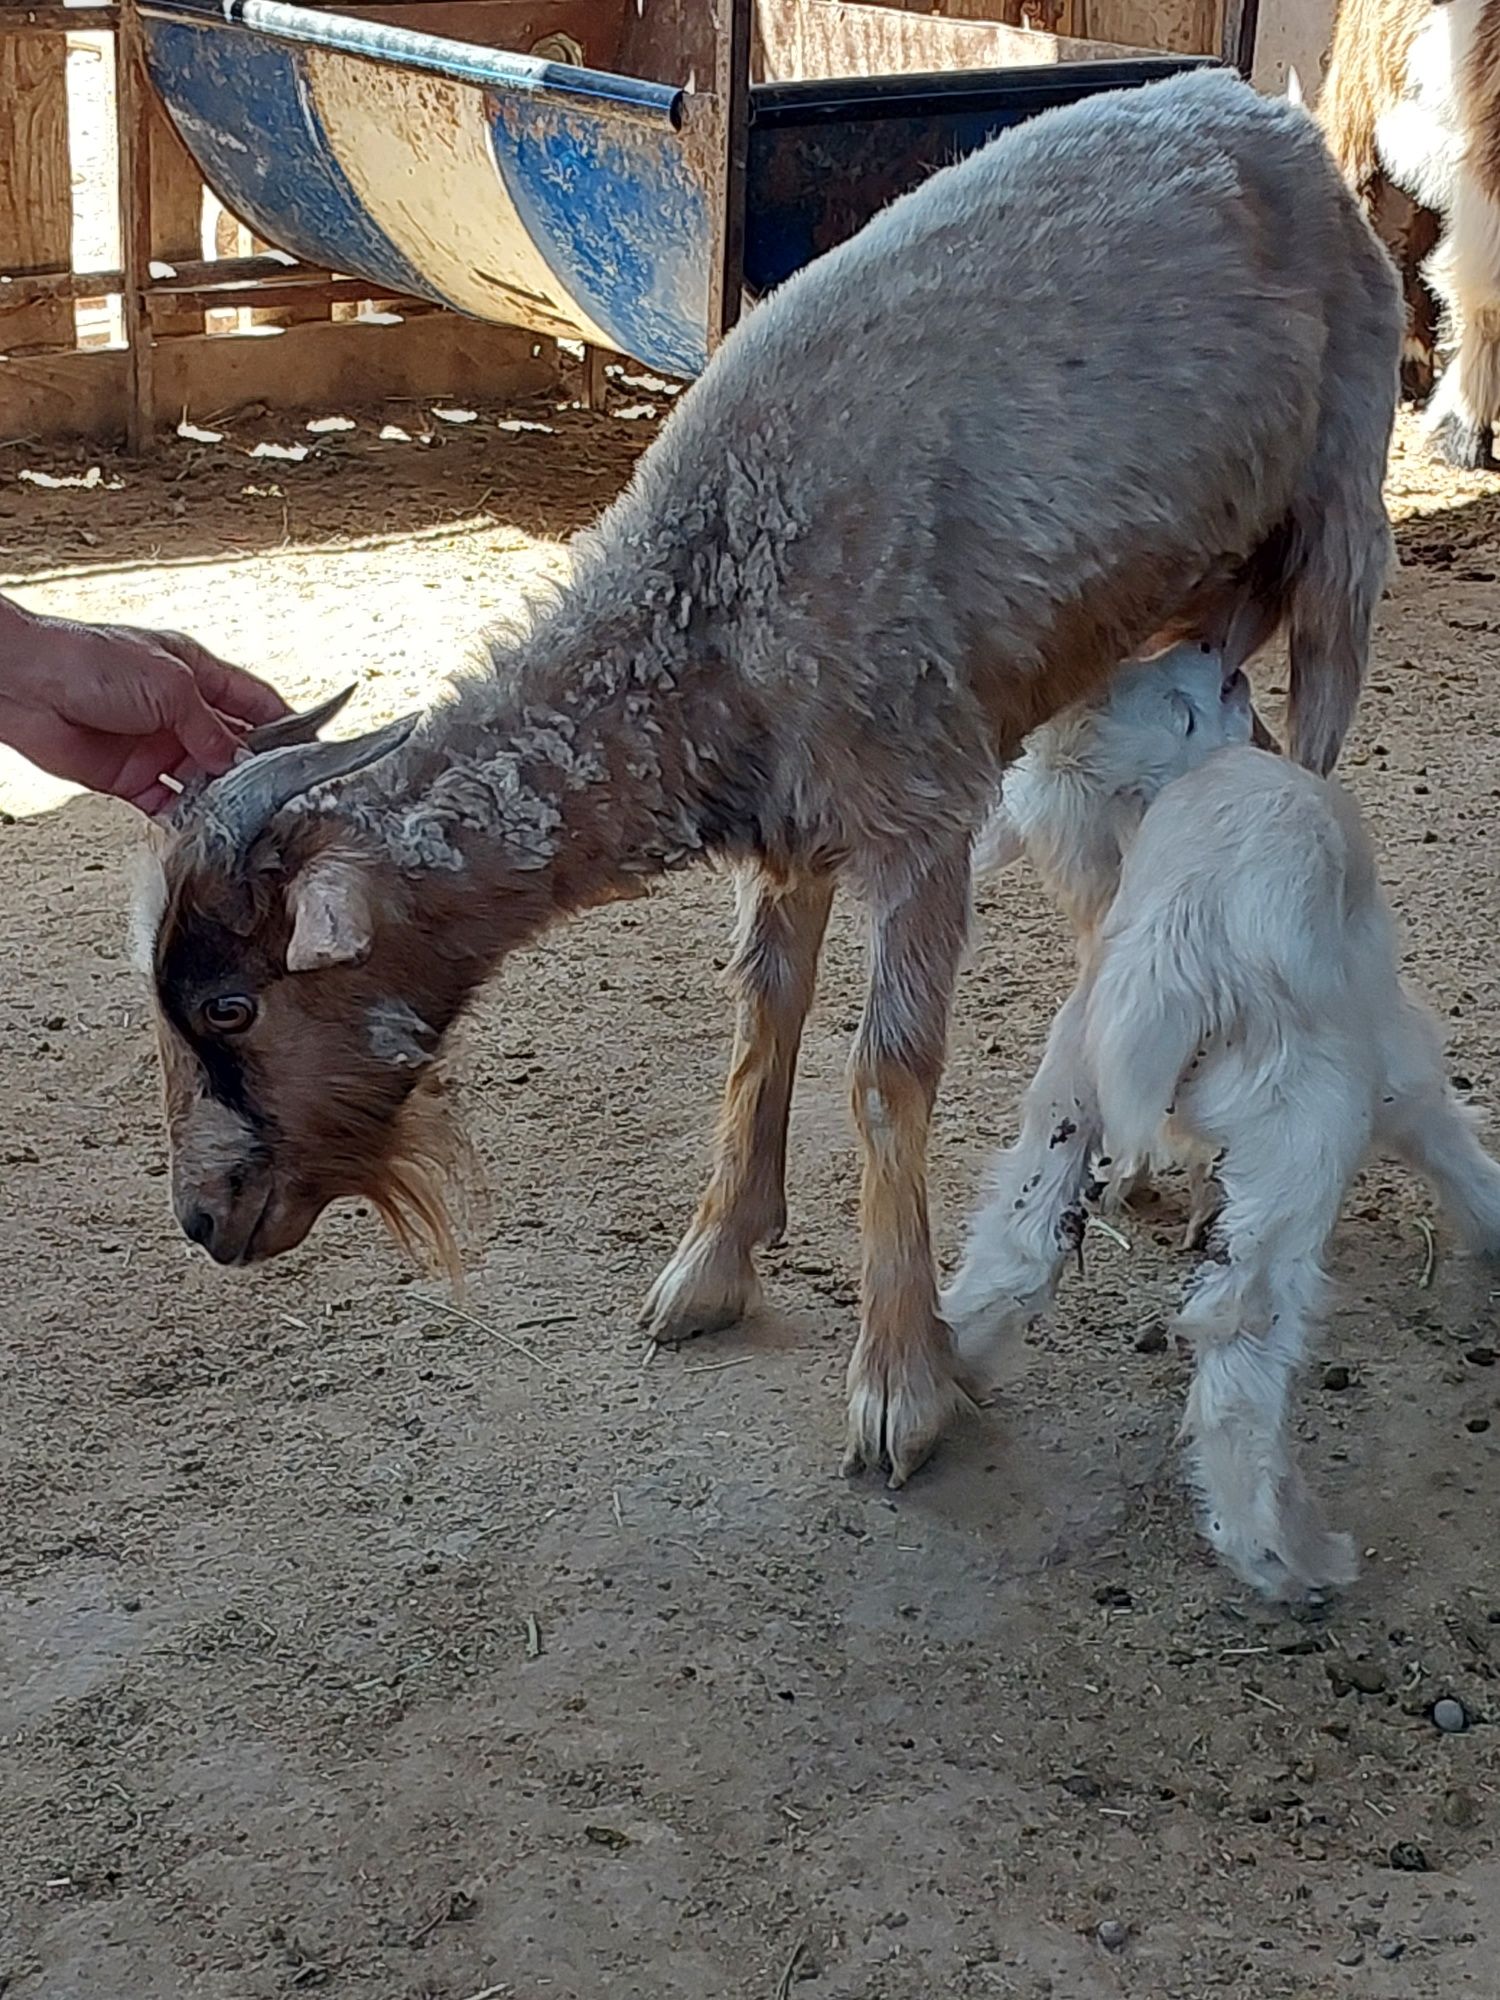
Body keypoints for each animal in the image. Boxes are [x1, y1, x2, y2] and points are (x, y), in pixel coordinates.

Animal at [147, 70, 1408, 1488]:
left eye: (234, 1004)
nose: (202, 1219)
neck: (714, 599)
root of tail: (1263, 111)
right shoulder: (791, 820)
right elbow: (762, 1018)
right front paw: (711, 1264)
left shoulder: (921, 807)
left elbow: (883, 1076)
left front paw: (900, 1381)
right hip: (1174, 605)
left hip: (1340, 525)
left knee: (1309, 764)